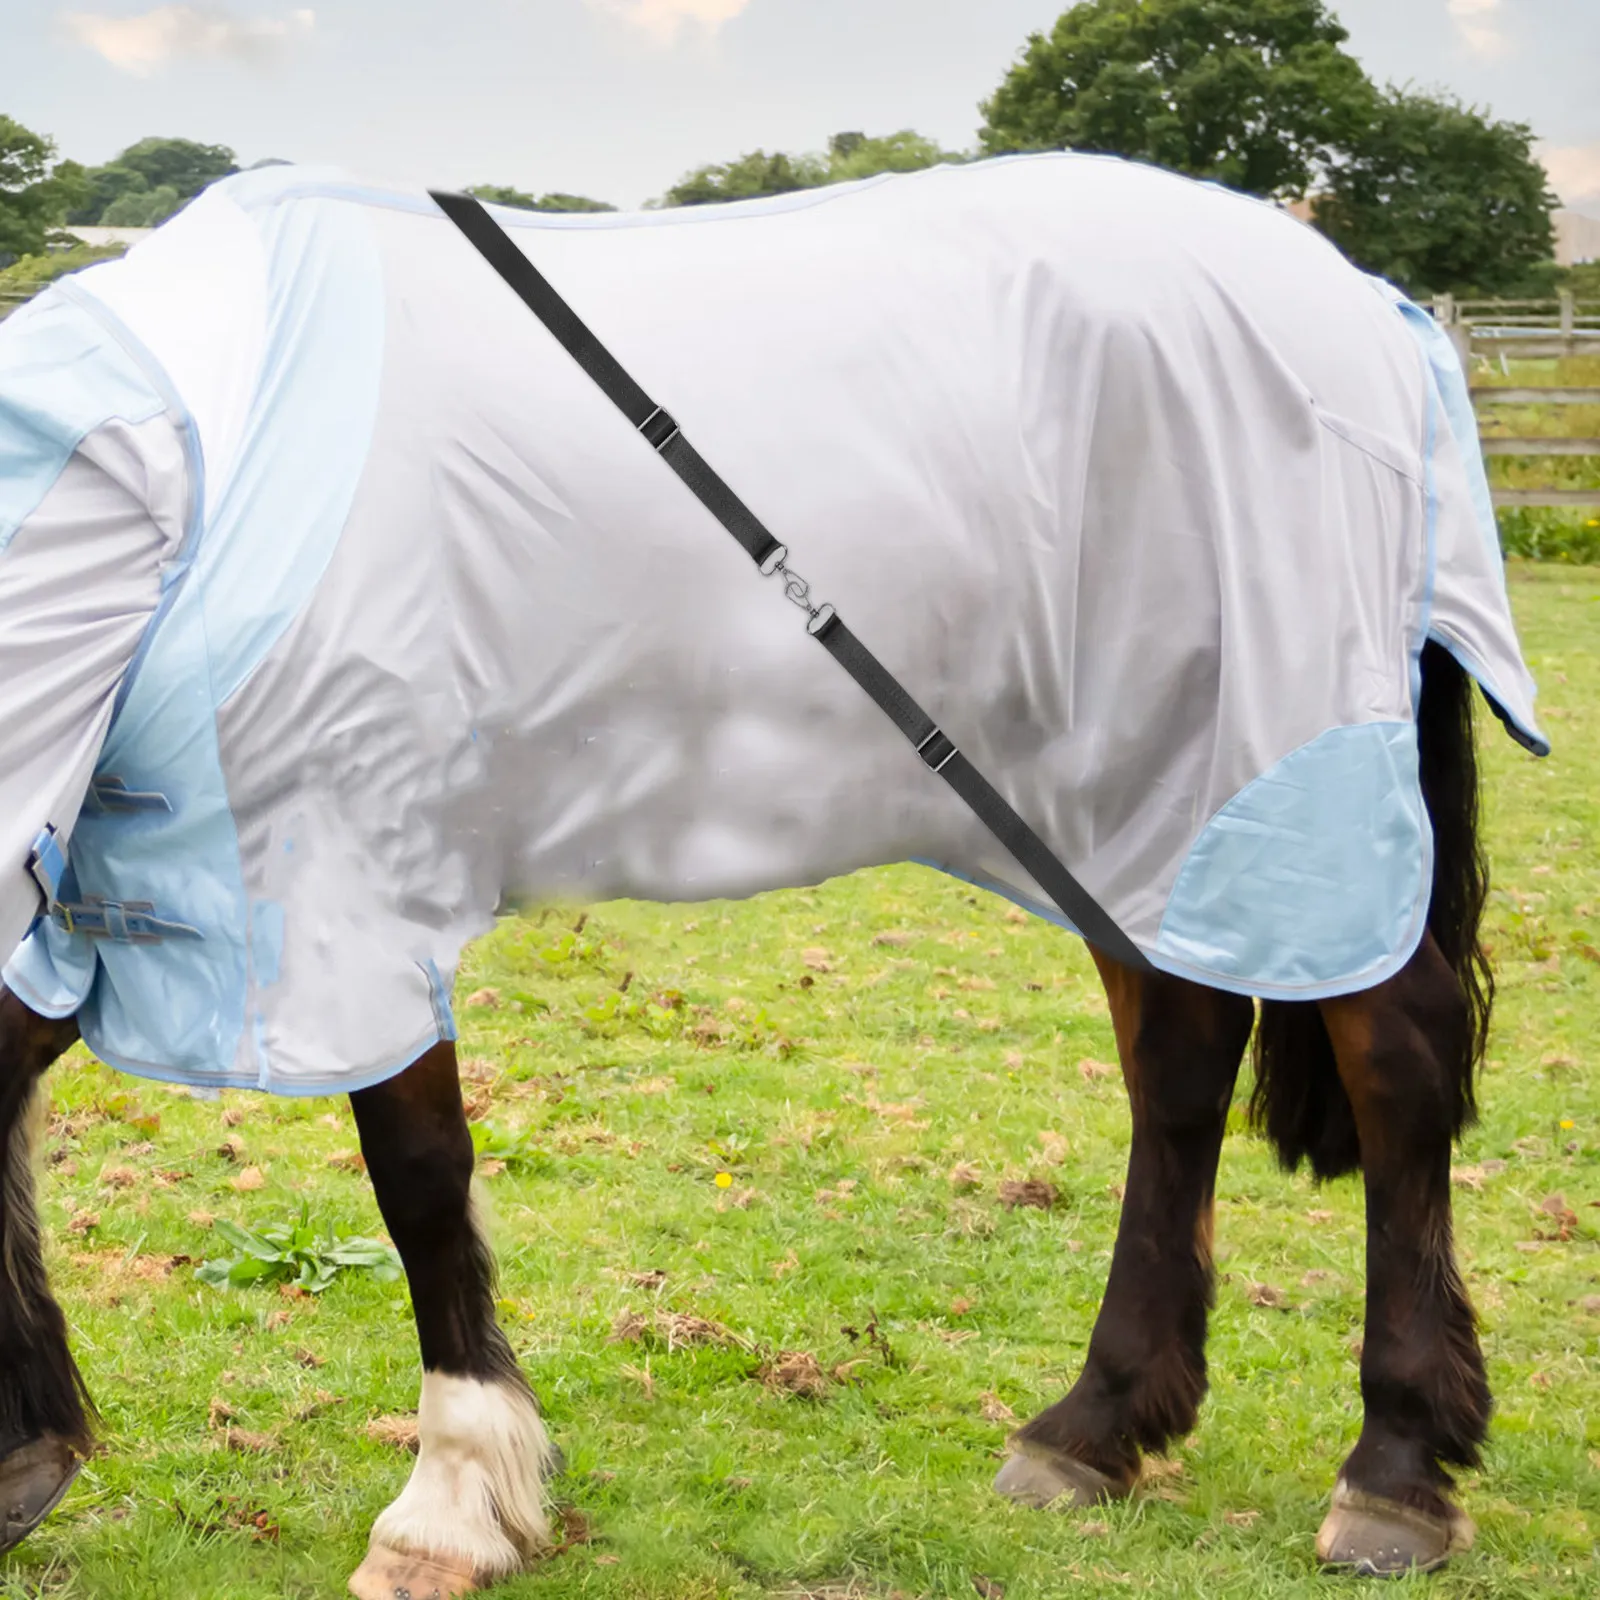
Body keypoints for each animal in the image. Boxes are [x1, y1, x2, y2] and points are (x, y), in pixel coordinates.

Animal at [0, 153, 1546, 1594]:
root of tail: (1366, 305)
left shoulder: (346, 875)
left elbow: (418, 1176)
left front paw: (447, 1506)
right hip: (1135, 799)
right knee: (1179, 1053)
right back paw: (1096, 1425)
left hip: (1283, 775)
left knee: (1396, 1060)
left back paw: (1395, 1469)